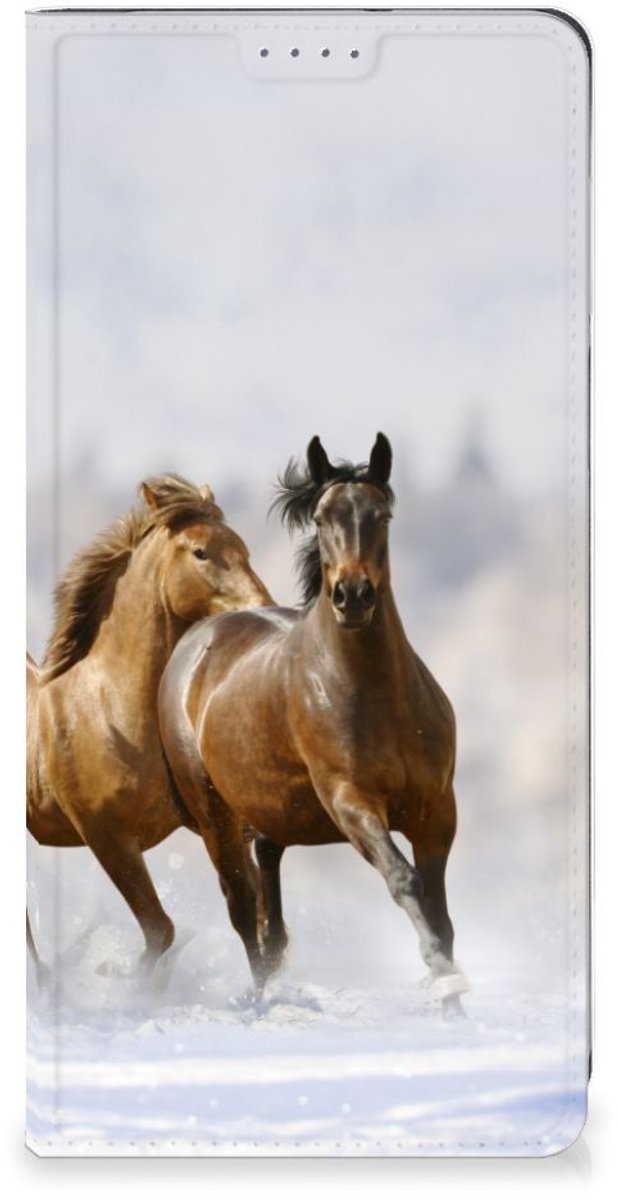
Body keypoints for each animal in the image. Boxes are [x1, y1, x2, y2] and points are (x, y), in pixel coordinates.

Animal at [27, 473, 272, 972]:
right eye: (200, 552)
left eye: (243, 548)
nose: (262, 606)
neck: (110, 712)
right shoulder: (107, 838)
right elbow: (160, 930)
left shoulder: (212, 823)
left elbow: (250, 912)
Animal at [159, 435, 468, 1014]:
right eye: (323, 518)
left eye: (382, 515)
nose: (353, 595)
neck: (377, 697)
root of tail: (196, 641)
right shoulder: (351, 801)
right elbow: (405, 881)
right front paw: (443, 980)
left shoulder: (436, 810)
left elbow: (440, 911)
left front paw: (454, 1001)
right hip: (214, 815)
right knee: (243, 908)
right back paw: (262, 1001)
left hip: (270, 814)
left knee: (269, 908)